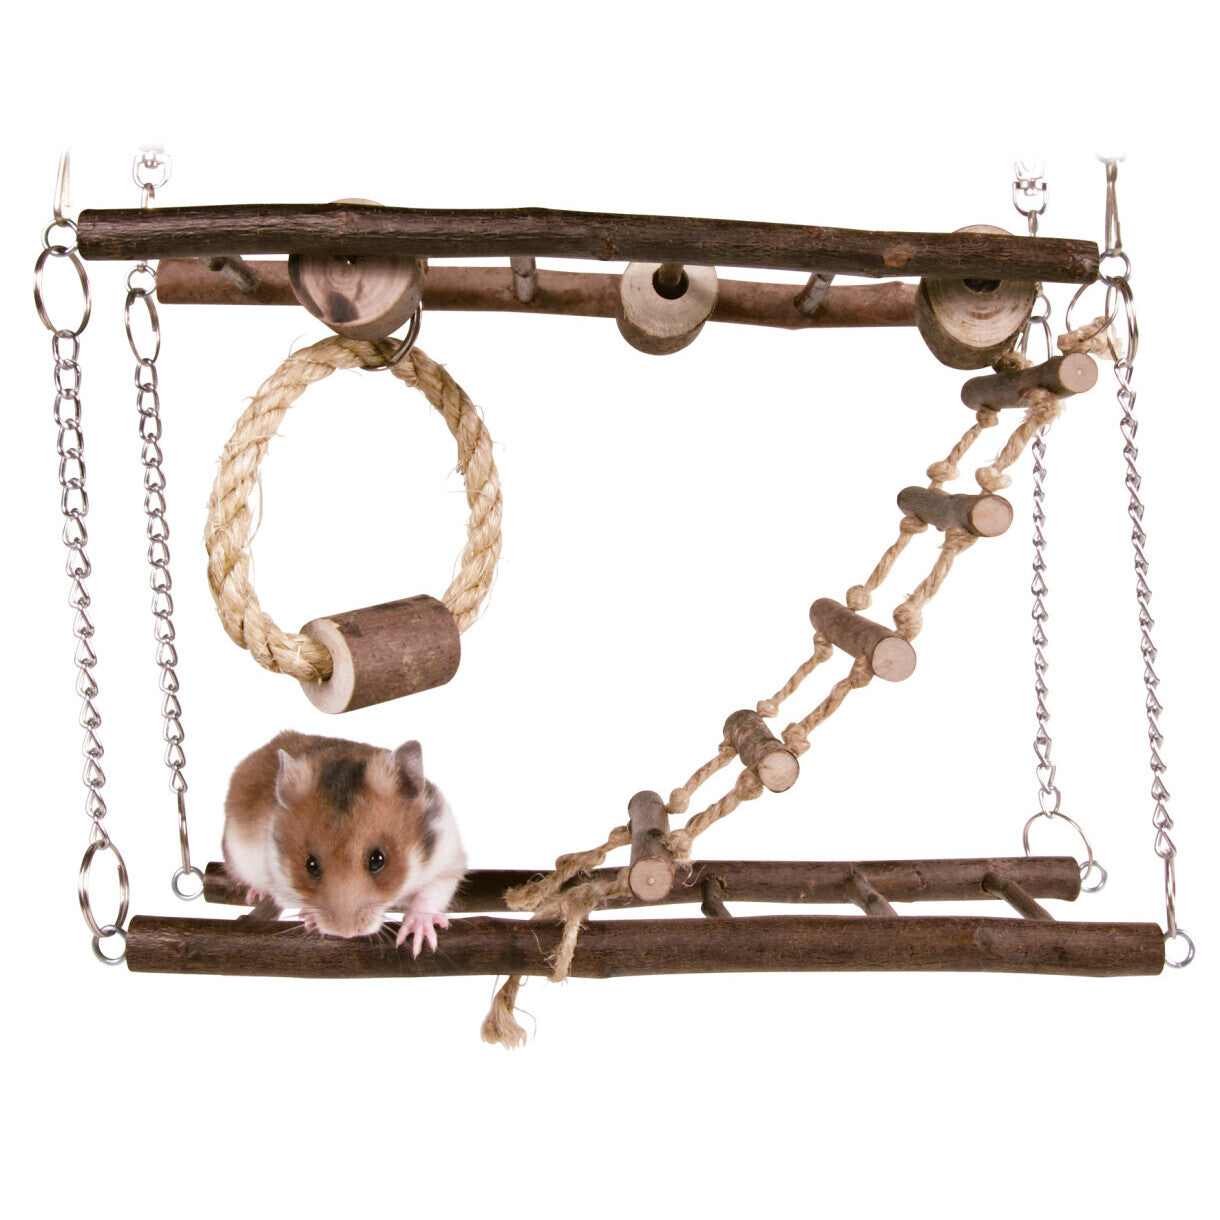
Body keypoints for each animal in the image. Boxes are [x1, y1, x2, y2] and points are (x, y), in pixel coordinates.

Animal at [222, 731, 466, 956]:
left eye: (378, 859)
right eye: (310, 865)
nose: (346, 933)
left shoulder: (448, 857)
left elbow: (430, 893)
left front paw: (418, 942)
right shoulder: (276, 876)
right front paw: (311, 920)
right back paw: (255, 893)